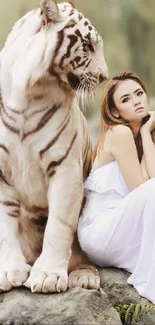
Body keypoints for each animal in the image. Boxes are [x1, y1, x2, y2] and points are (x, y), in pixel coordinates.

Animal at [0, 0, 108, 292]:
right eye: (88, 45)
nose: (105, 77)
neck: (28, 92)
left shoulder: (65, 167)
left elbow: (58, 226)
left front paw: (47, 275)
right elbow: (4, 227)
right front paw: (9, 272)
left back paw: (84, 277)